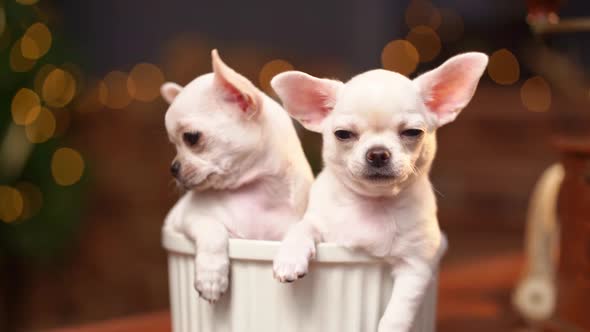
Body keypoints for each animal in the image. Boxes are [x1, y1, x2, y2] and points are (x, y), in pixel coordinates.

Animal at [163, 50, 314, 304]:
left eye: (191, 138)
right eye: (173, 144)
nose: (173, 168)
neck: (255, 191)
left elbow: (300, 232)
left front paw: (292, 257)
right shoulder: (188, 218)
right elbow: (214, 229)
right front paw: (211, 277)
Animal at [272, 53, 490, 330]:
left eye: (412, 132)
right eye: (343, 134)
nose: (377, 153)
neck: (374, 202)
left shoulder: (416, 267)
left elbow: (399, 309)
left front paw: (390, 325)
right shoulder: (320, 223)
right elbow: (302, 228)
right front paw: (289, 258)